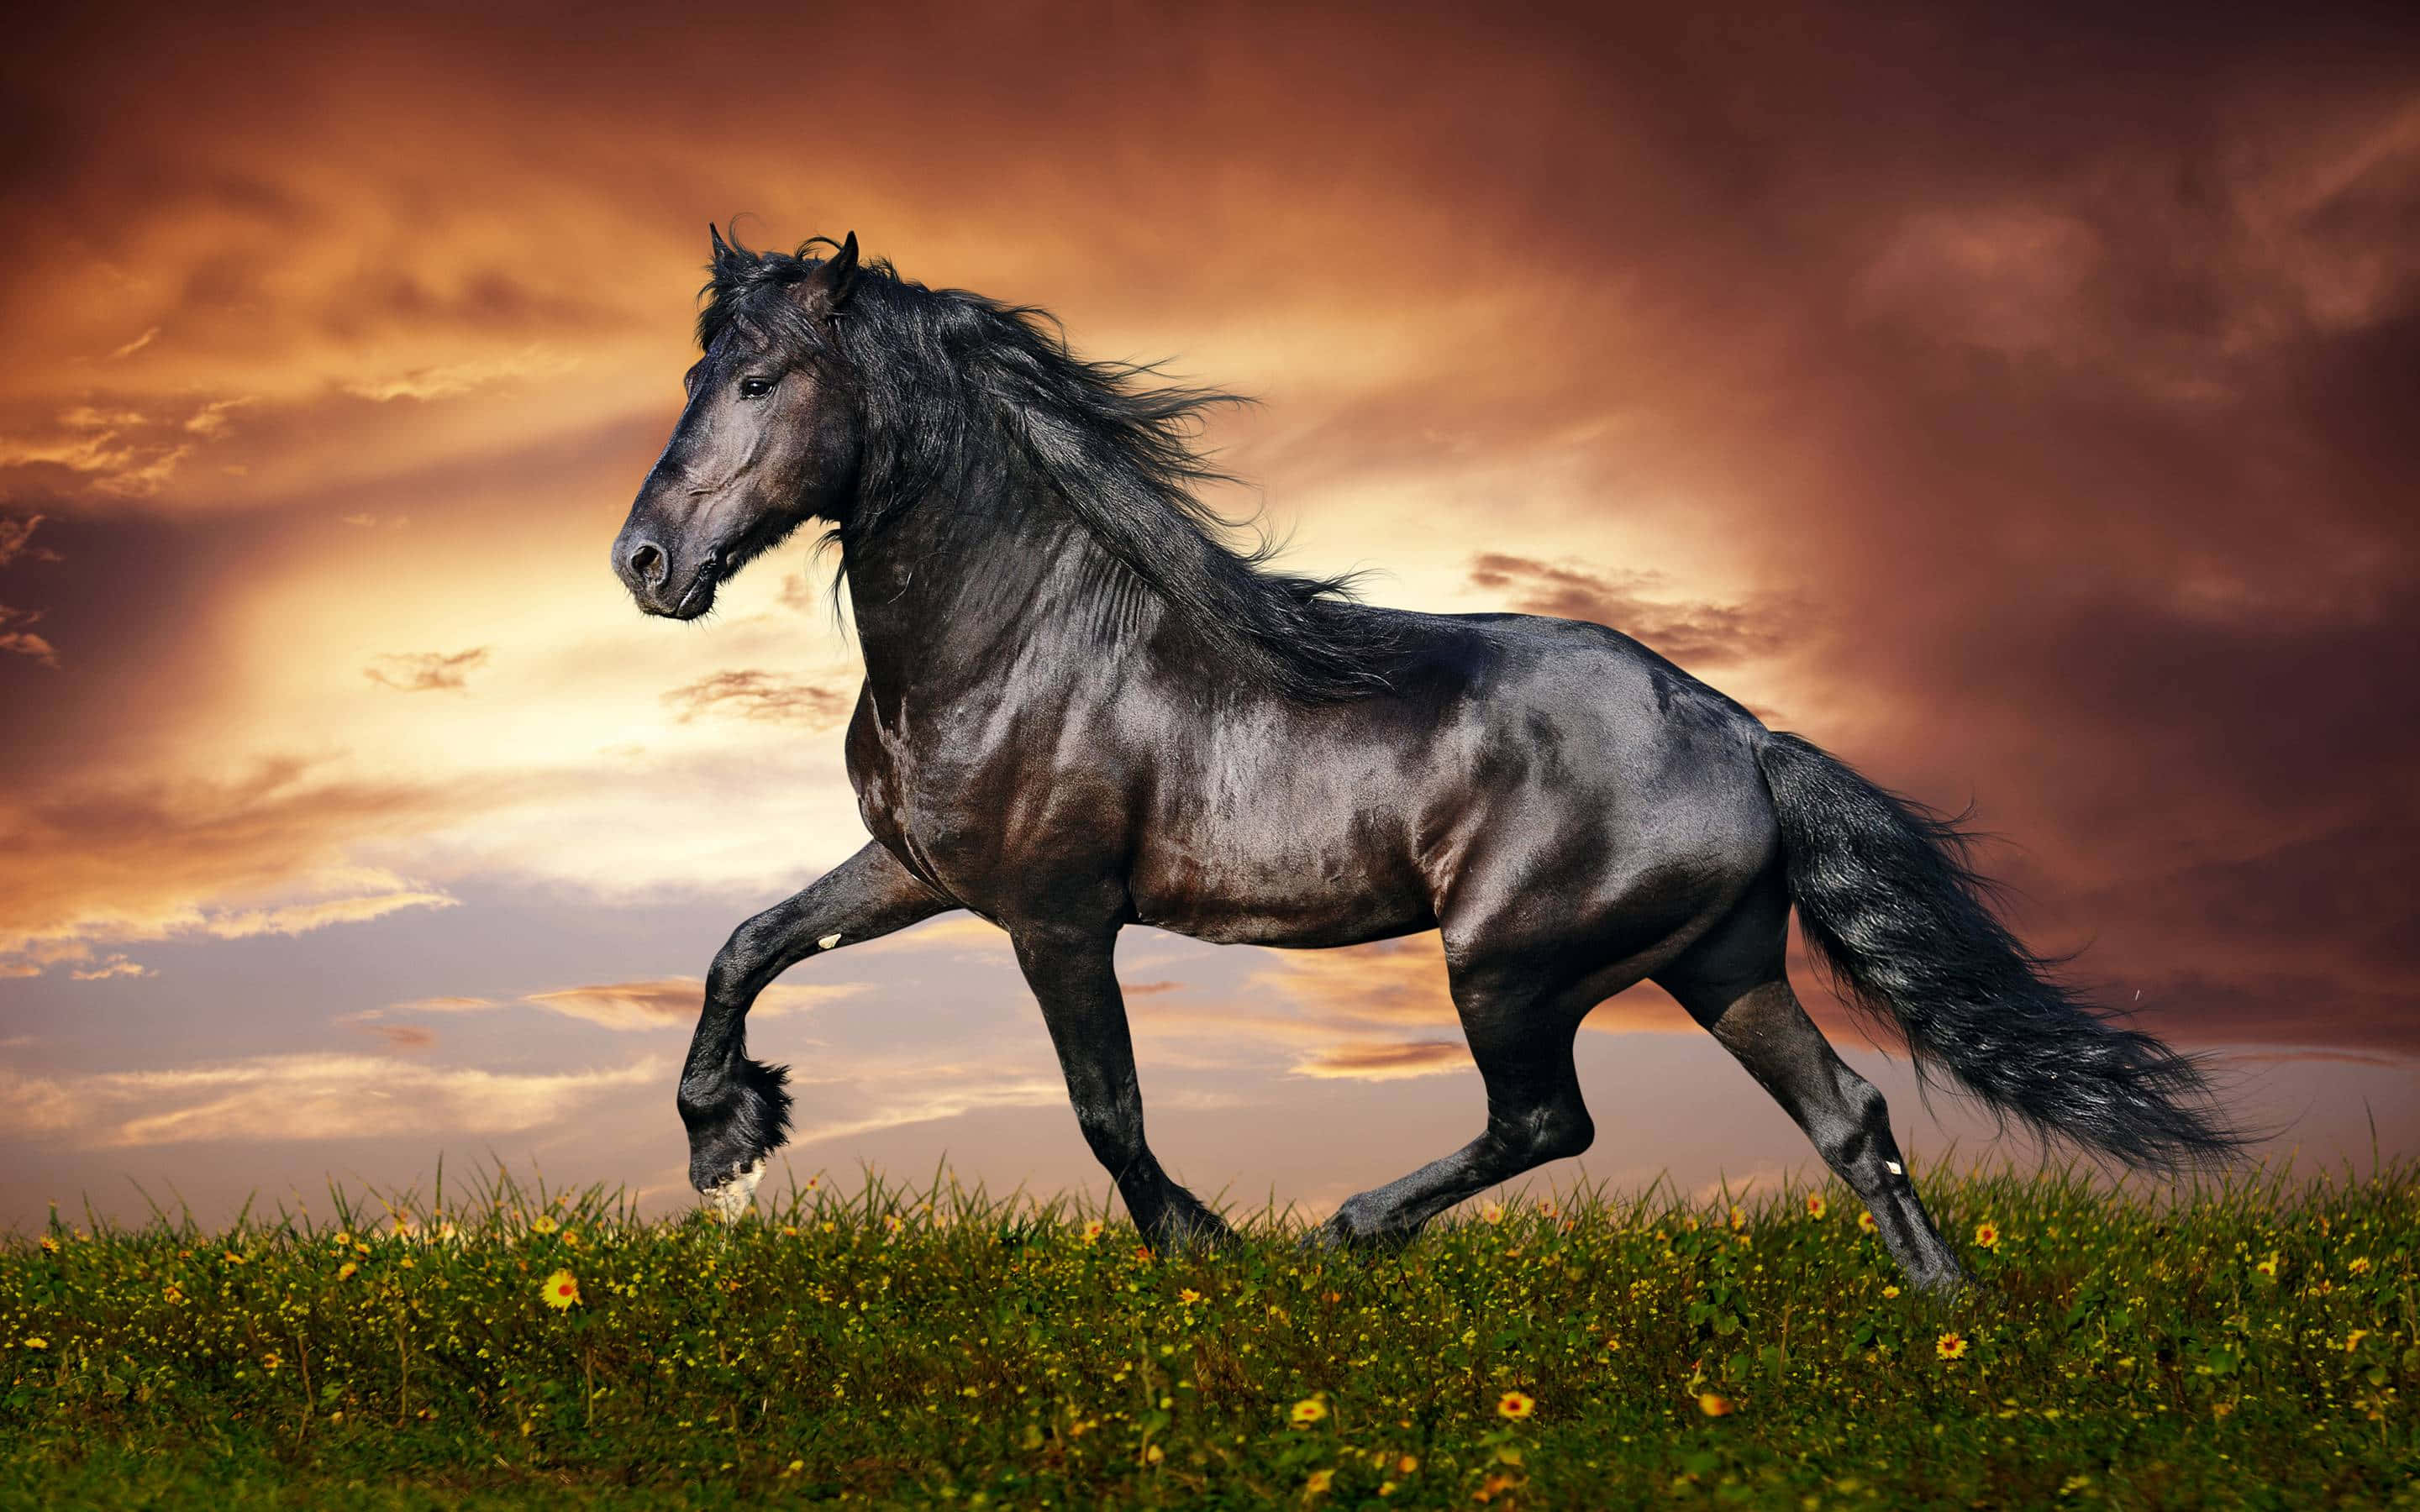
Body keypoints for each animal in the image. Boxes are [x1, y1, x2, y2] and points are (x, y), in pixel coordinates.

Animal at [610, 227, 2240, 1292]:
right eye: (696, 373)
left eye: (761, 382)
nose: (645, 563)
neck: (1019, 633)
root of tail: (1744, 735)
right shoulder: (921, 868)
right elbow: (746, 944)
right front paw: (725, 1142)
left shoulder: (1057, 915)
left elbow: (1105, 1109)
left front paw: (1205, 1250)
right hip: (1719, 962)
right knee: (1850, 1119)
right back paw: (1947, 1324)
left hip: (1509, 963)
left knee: (1550, 1120)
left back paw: (1345, 1232)